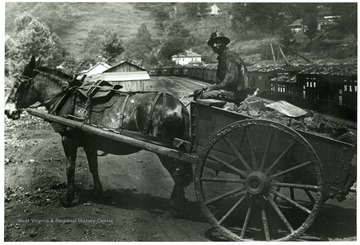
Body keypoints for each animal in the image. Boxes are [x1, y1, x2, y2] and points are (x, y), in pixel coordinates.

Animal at [5, 57, 193, 214]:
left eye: (17, 85)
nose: (8, 111)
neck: (66, 97)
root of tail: (180, 107)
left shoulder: (68, 140)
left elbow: (70, 169)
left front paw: (68, 198)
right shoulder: (90, 143)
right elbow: (93, 166)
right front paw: (97, 192)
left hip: (167, 151)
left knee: (178, 173)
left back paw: (177, 205)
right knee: (180, 173)